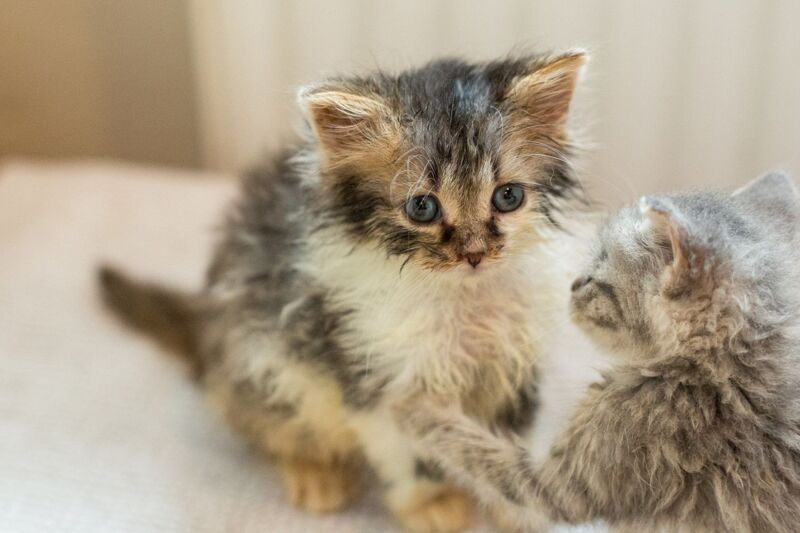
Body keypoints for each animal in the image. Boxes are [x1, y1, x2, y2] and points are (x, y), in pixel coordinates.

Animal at [98, 51, 588, 533]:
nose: (474, 253)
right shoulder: (372, 370)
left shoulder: (514, 365)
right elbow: (406, 453)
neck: (461, 297)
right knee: (269, 427)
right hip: (265, 362)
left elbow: (509, 444)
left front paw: (519, 508)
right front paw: (431, 502)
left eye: (507, 197)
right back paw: (316, 472)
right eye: (422, 207)